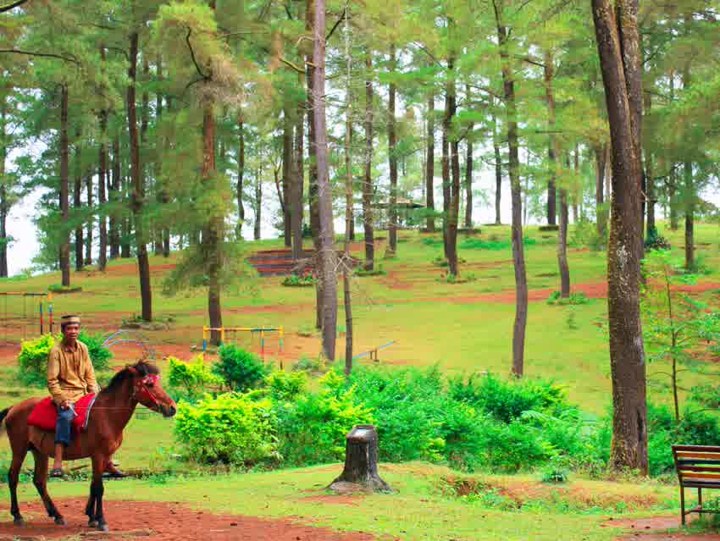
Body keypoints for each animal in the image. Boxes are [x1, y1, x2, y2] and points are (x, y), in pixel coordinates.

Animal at [0, 360, 176, 528]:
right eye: (150, 384)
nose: (172, 408)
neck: (107, 415)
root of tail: (13, 408)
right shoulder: (97, 455)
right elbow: (99, 487)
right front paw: (101, 520)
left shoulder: (103, 457)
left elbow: (94, 485)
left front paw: (91, 516)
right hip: (19, 448)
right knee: (13, 477)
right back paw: (18, 516)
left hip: (39, 452)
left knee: (39, 481)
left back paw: (57, 515)